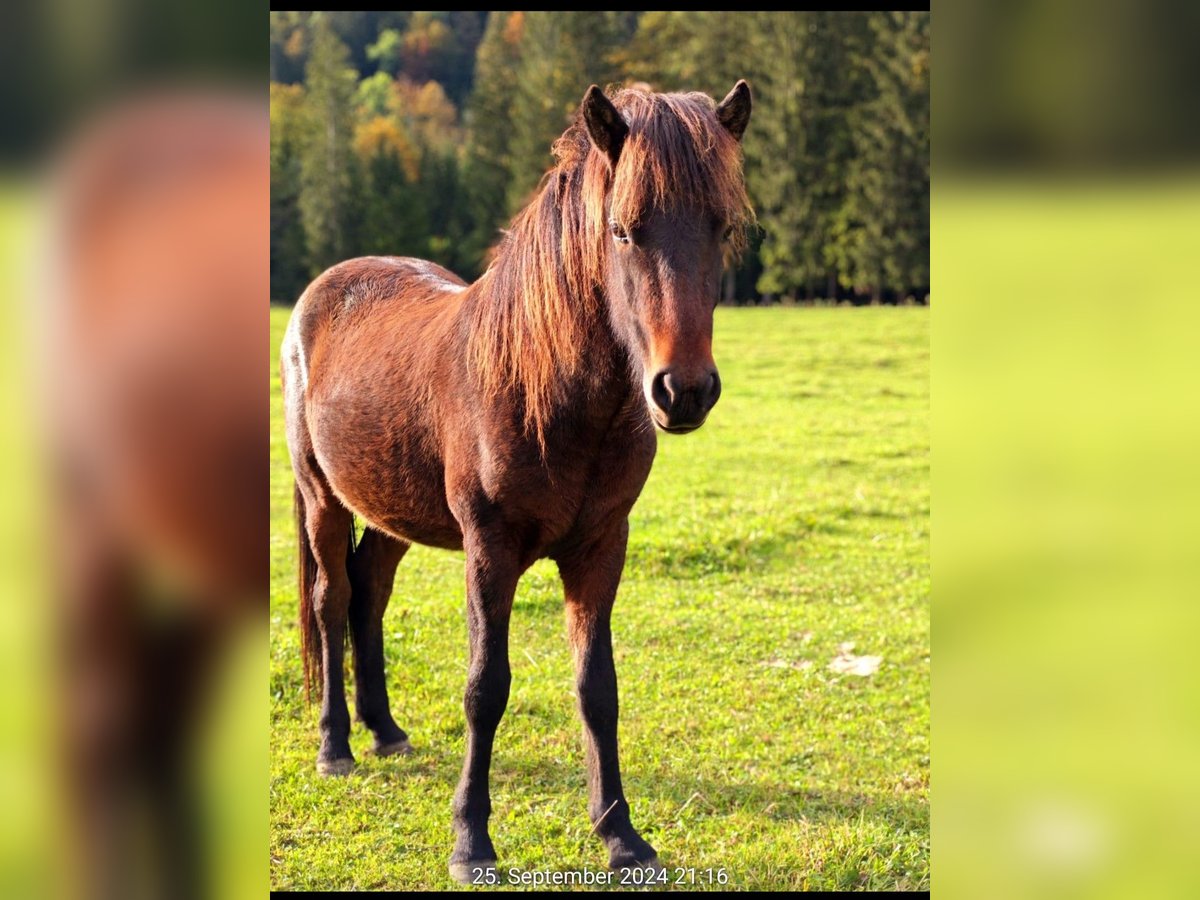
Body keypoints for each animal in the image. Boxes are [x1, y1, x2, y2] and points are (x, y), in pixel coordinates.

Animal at [279, 77, 748, 883]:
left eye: (720, 228)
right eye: (623, 231)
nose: (682, 391)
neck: (547, 393)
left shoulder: (601, 549)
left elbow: (597, 689)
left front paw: (622, 837)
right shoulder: (489, 551)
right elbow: (484, 688)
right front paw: (471, 842)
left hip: (393, 512)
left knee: (370, 589)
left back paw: (386, 730)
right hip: (321, 500)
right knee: (332, 600)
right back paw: (336, 746)